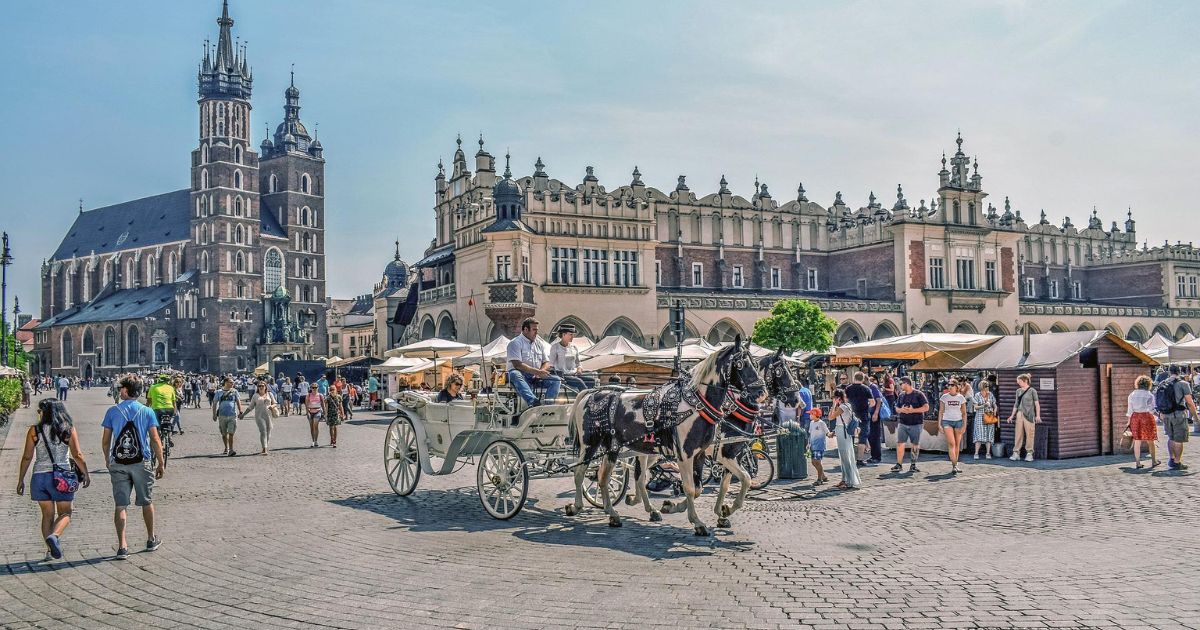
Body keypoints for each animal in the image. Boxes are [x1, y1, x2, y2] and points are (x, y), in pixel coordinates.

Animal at [564, 333, 768, 535]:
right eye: (741, 364)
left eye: (756, 364)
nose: (762, 392)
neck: (698, 404)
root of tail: (592, 392)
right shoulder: (690, 454)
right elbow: (691, 487)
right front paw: (697, 522)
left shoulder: (703, 454)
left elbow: (711, 486)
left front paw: (718, 512)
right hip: (590, 444)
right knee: (580, 472)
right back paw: (576, 507)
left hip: (616, 448)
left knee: (610, 477)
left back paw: (616, 513)